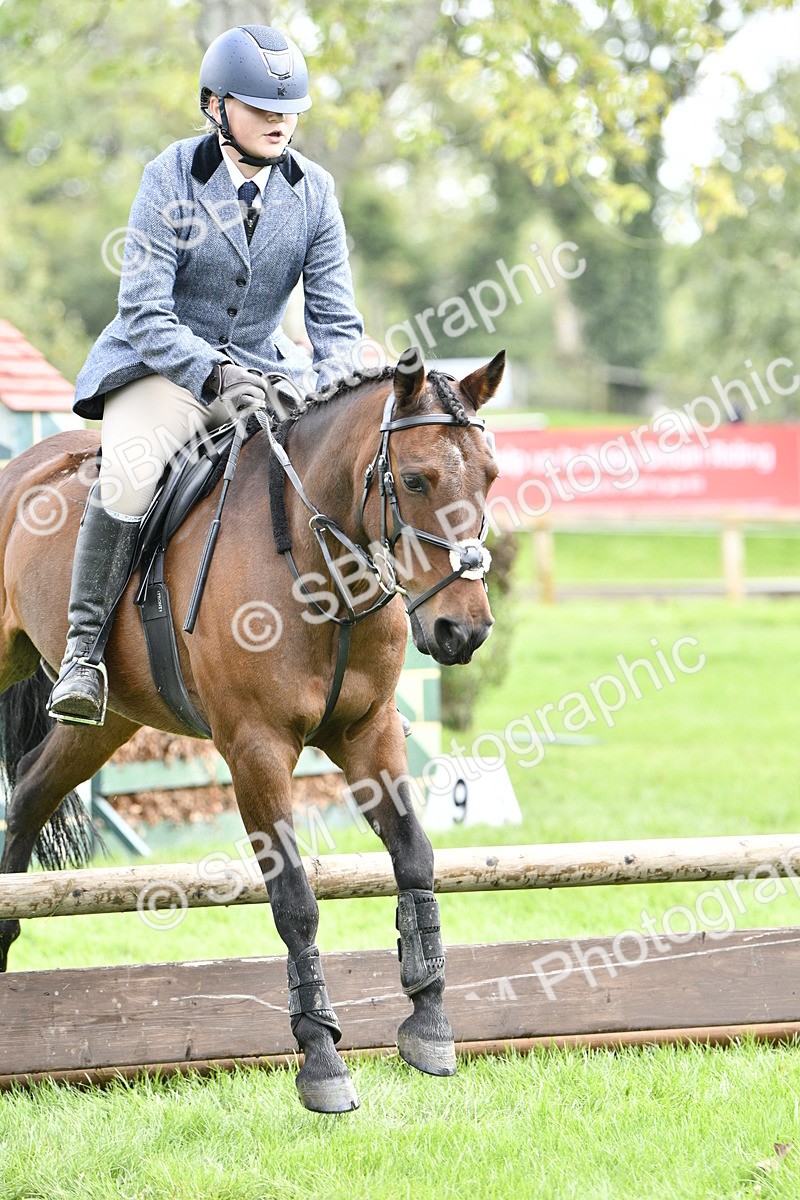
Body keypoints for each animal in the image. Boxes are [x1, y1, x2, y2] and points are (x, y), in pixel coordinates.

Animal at [0, 347, 504, 1112]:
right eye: (415, 479)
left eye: (491, 475)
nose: (463, 631)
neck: (318, 563)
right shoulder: (256, 748)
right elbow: (295, 901)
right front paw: (322, 1062)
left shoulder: (369, 735)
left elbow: (415, 858)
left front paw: (430, 1025)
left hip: (107, 719)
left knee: (29, 792)